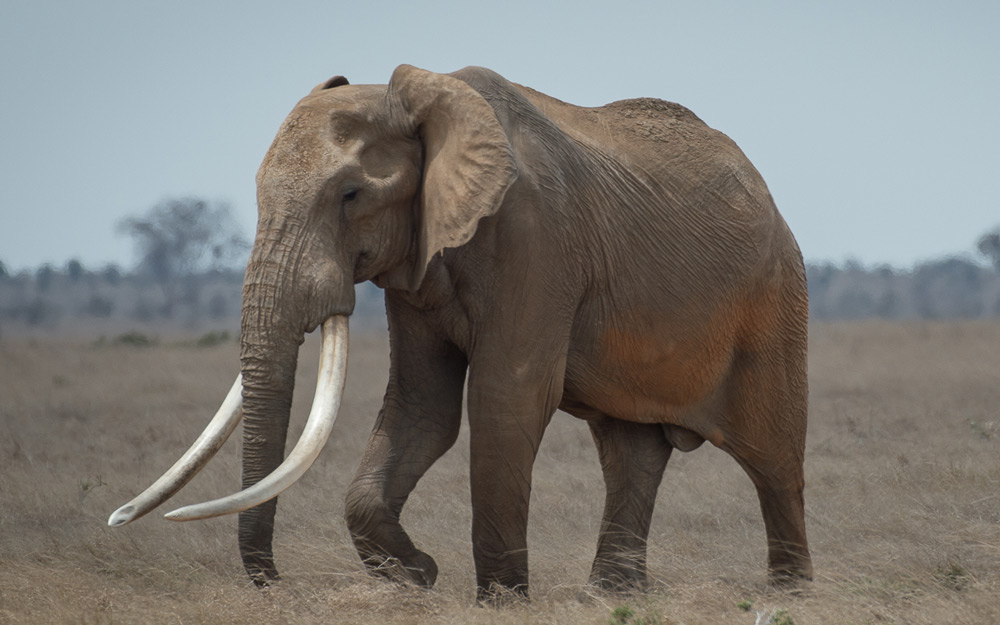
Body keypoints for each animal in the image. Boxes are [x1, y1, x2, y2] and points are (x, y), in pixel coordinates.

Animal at [111, 63, 812, 600]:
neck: (428, 99)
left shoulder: (536, 239)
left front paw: (497, 601)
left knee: (774, 458)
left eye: (351, 195)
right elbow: (423, 406)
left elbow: (507, 399)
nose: (275, 583)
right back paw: (611, 597)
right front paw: (418, 574)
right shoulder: (418, 261)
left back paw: (789, 595)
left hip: (775, 296)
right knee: (630, 453)